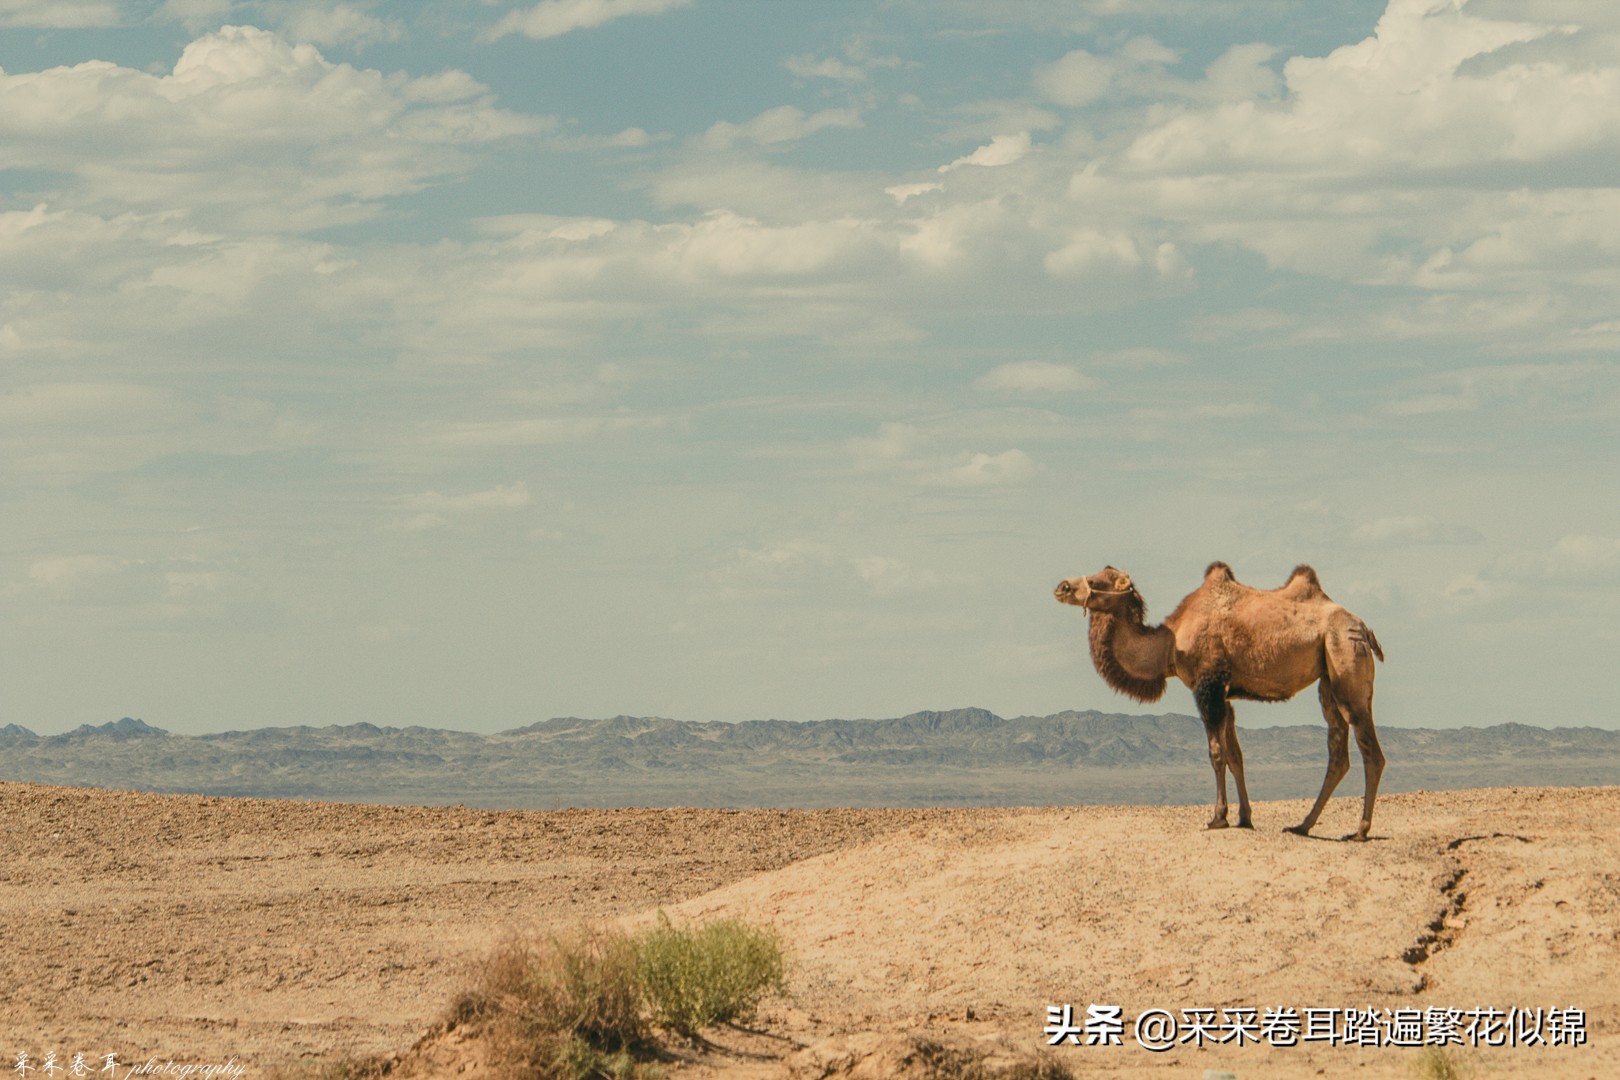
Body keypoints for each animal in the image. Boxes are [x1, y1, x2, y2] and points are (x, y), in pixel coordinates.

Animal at [1056, 566, 1386, 841]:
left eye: (1100, 580)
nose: (1062, 587)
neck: (1169, 644)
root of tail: (1364, 627)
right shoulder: (1225, 695)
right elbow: (1235, 755)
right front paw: (1244, 818)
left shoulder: (1208, 685)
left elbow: (1216, 754)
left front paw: (1217, 818)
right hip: (1327, 679)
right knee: (1338, 753)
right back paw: (1302, 825)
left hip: (1345, 657)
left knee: (1371, 751)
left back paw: (1360, 831)